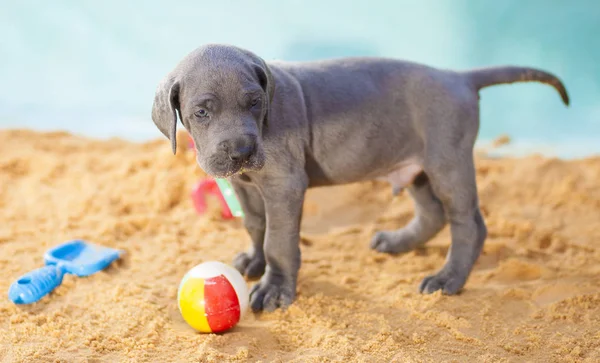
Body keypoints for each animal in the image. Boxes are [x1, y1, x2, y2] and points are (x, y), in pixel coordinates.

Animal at [151, 44, 568, 312]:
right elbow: (256, 225)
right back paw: (398, 242)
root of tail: (459, 77)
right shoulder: (245, 184)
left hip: (447, 162)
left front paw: (274, 288)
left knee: (468, 223)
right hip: (415, 167)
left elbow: (278, 241)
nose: (241, 151)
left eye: (255, 103)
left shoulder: (284, 185)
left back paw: (448, 278)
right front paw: (254, 261)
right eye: (202, 112)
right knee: (432, 213)